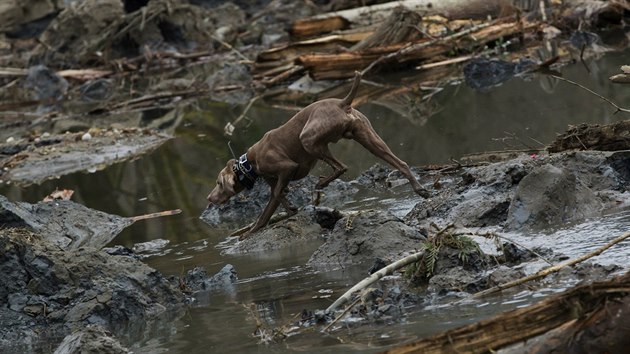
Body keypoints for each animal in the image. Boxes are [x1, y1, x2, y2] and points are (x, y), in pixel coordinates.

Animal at [210, 71, 432, 238]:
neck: (249, 163)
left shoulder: (287, 168)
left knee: (341, 167)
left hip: (308, 139)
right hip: (369, 139)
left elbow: (273, 201)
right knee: (401, 163)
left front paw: (256, 229)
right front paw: (284, 213)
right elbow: (275, 202)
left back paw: (321, 183)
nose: (209, 198)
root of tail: (342, 102)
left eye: (219, 183)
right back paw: (420, 190)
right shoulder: (275, 180)